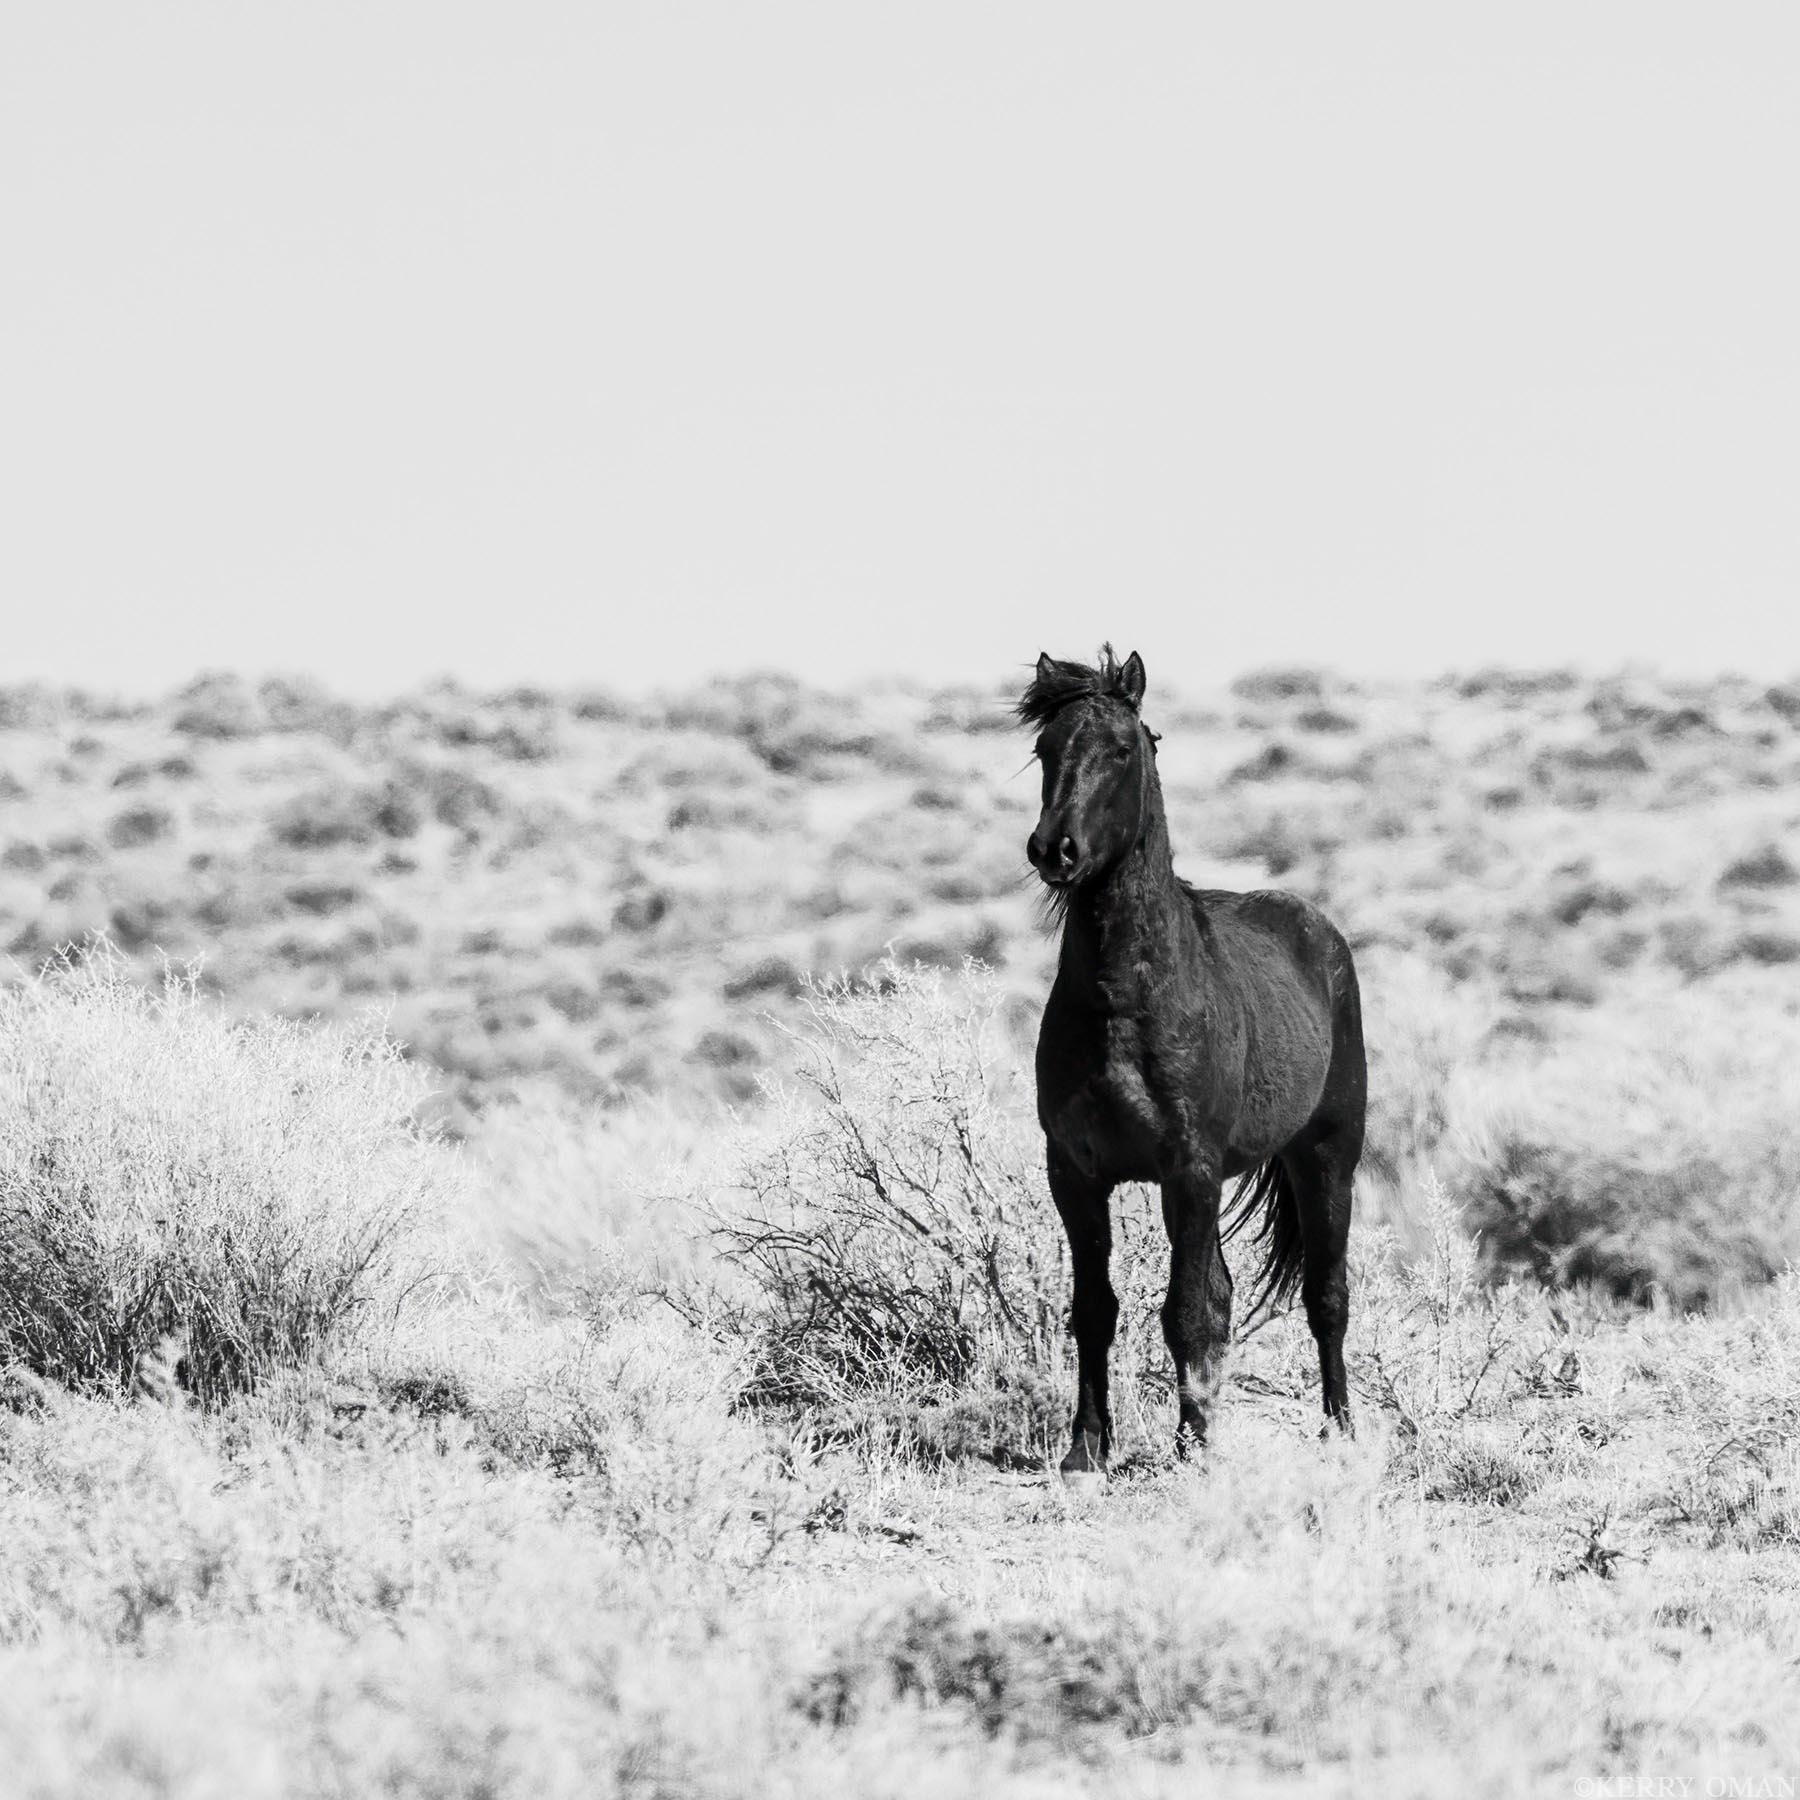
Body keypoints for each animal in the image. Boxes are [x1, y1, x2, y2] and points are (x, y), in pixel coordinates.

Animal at [1019, 646, 1366, 1490]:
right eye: (1045, 749)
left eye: (1121, 750)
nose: (1053, 850)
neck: (1123, 998)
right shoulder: (1074, 1174)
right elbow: (1096, 1310)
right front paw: (1087, 1449)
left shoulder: (1191, 1169)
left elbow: (1186, 1312)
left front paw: (1193, 1450)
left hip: (1326, 1155)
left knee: (1326, 1295)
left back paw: (1340, 1432)